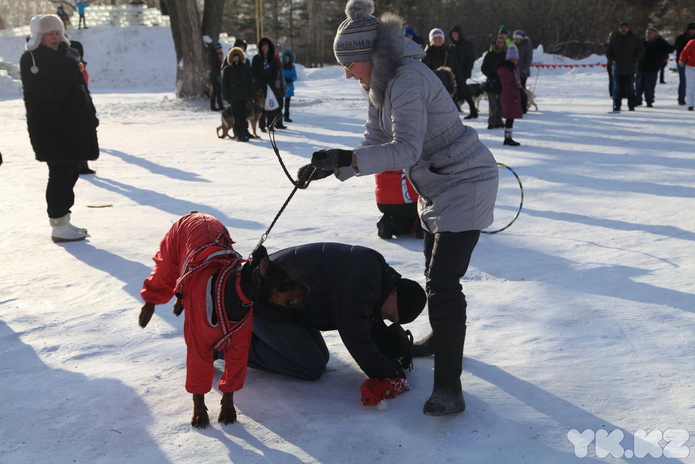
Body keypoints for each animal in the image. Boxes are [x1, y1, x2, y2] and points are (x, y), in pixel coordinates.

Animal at [139, 212, 308, 430]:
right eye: (284, 281)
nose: (308, 288)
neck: (231, 295)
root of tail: (198, 213)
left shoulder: (239, 347)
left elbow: (231, 383)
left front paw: (227, 409)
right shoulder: (198, 346)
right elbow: (197, 387)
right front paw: (199, 414)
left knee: (181, 286)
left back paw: (179, 304)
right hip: (169, 253)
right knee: (159, 281)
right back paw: (145, 314)